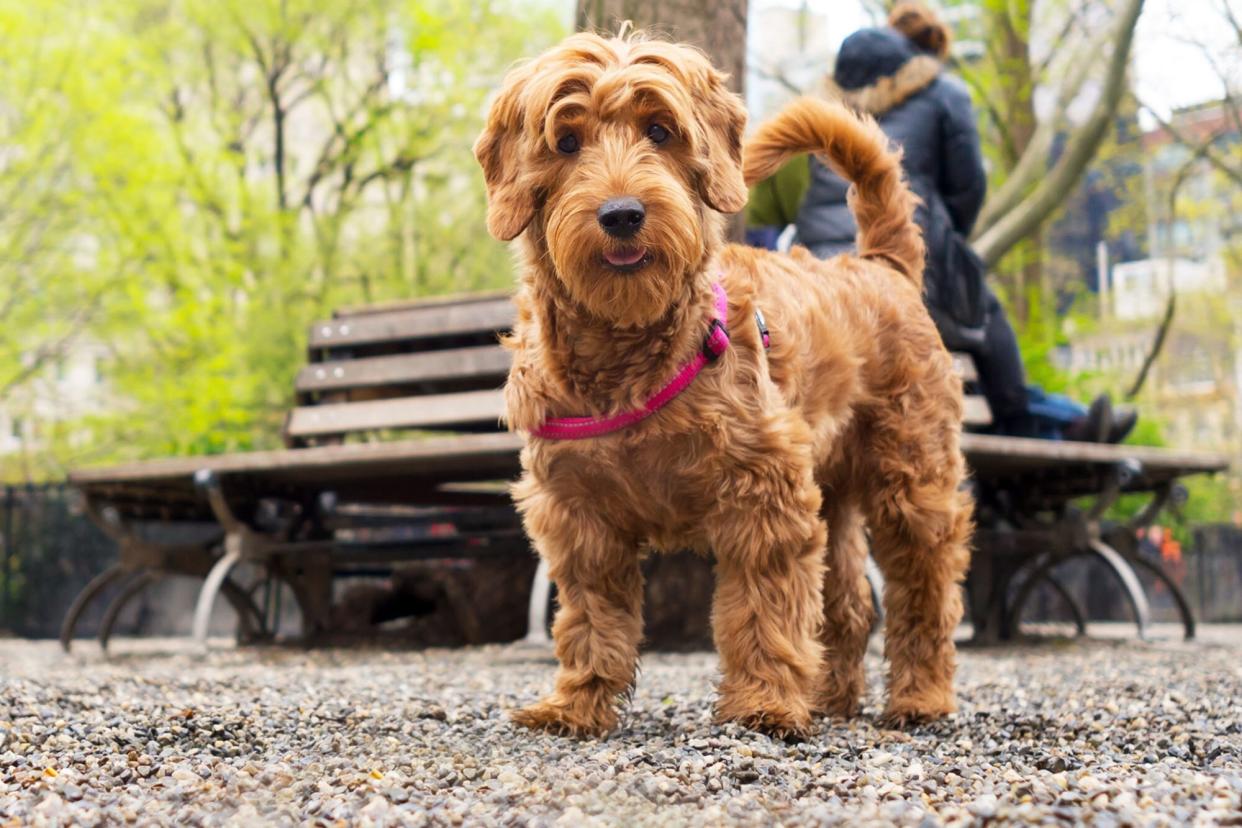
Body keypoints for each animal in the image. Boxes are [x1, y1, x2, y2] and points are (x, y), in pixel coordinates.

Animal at [471, 30, 968, 739]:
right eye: (565, 142)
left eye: (660, 130)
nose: (622, 214)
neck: (629, 353)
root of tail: (879, 264)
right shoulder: (577, 512)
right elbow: (591, 618)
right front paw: (577, 703)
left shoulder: (765, 492)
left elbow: (763, 607)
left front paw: (763, 703)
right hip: (836, 489)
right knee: (848, 604)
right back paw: (830, 698)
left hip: (912, 477)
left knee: (924, 591)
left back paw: (920, 698)